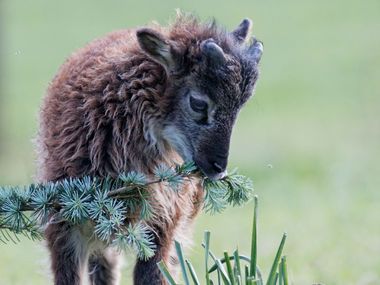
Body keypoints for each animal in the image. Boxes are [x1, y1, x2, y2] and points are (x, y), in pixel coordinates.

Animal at [37, 15, 262, 284]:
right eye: (198, 103)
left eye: (239, 109)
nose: (217, 168)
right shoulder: (65, 222)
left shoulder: (165, 219)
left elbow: (153, 274)